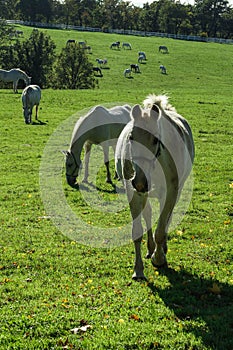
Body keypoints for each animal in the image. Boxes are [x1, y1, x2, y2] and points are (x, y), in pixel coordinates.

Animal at [115, 94, 195, 280]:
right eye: (131, 137)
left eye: (155, 140)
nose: (140, 181)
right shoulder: (134, 192)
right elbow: (137, 231)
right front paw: (138, 270)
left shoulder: (170, 192)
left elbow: (161, 229)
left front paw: (159, 258)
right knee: (149, 214)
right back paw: (150, 249)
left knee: (166, 220)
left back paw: (161, 249)